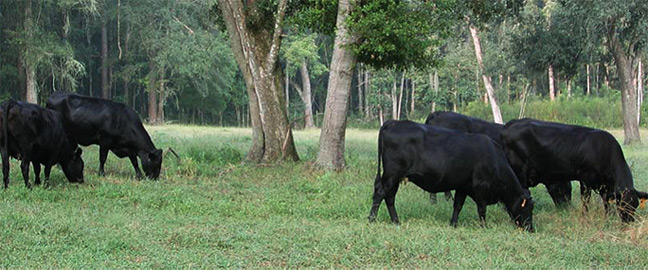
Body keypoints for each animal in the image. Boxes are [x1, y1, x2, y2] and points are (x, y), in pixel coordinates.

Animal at [368, 121, 536, 232]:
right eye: (528, 208)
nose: (531, 229)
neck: (494, 158)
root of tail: (393, 122)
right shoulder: (481, 187)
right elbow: (481, 209)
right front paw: (484, 226)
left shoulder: (463, 186)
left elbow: (458, 206)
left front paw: (453, 224)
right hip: (392, 174)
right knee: (380, 193)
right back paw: (372, 219)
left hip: (394, 177)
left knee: (389, 197)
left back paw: (396, 221)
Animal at [502, 118, 648, 221]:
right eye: (622, 204)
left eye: (635, 205)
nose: (629, 221)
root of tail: (511, 124)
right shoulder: (586, 177)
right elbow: (585, 199)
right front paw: (585, 216)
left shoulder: (603, 185)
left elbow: (606, 200)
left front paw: (608, 216)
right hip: (519, 171)